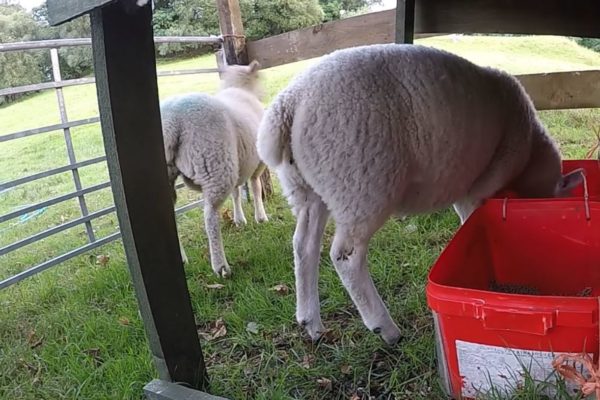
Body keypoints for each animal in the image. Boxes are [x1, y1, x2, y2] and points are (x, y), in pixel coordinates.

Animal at [163, 60, 268, 278]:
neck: (241, 89)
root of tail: (172, 121)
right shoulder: (257, 163)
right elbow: (255, 187)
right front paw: (261, 217)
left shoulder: (237, 164)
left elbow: (237, 193)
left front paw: (239, 219)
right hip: (215, 164)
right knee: (210, 216)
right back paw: (221, 266)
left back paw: (182, 258)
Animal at [256, 43, 580, 344]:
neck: (530, 150)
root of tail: (290, 103)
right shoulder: (481, 183)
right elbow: (470, 219)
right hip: (360, 182)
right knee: (346, 256)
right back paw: (385, 328)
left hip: (308, 187)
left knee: (304, 244)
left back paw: (310, 321)